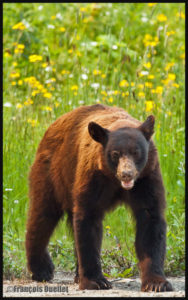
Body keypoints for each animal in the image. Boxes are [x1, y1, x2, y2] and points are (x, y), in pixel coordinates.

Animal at [25, 104, 173, 292]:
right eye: (115, 154)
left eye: (136, 152)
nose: (126, 174)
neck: (114, 180)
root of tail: (51, 127)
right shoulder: (93, 176)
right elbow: (89, 219)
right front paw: (95, 281)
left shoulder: (147, 176)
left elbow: (150, 220)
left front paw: (156, 283)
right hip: (53, 173)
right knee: (42, 216)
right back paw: (42, 269)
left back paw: (76, 274)